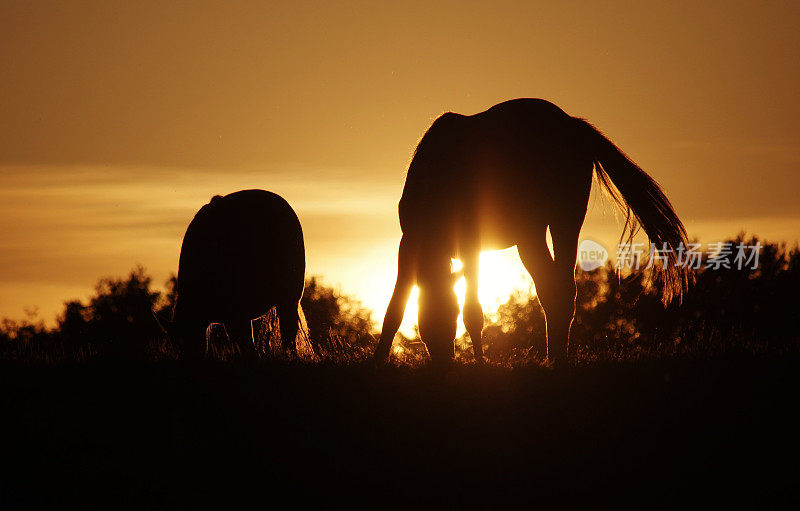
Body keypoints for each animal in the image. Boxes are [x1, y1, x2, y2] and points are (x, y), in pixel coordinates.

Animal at [157, 189, 306, 360]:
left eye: (187, 340)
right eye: (175, 346)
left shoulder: (236, 314)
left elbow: (246, 344)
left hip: (289, 297)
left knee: (288, 333)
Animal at [376, 98, 688, 366]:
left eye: (449, 313)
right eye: (425, 315)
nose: (444, 362)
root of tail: (572, 123)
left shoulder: (470, 245)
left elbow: (473, 310)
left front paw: (480, 363)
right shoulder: (408, 244)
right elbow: (395, 307)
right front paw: (378, 360)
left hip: (563, 220)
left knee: (562, 287)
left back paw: (558, 357)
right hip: (531, 235)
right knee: (551, 288)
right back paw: (554, 356)